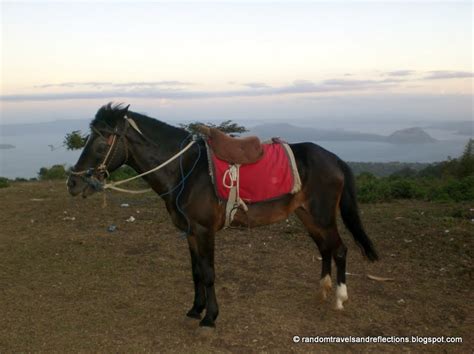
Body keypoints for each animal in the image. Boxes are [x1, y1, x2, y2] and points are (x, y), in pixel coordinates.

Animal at [66, 103, 378, 328]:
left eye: (101, 141)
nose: (73, 183)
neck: (185, 169)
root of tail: (334, 158)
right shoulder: (190, 232)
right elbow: (195, 272)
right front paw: (195, 308)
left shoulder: (204, 230)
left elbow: (209, 272)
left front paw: (210, 317)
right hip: (308, 216)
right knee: (325, 248)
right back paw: (323, 290)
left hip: (322, 216)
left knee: (339, 249)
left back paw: (339, 297)